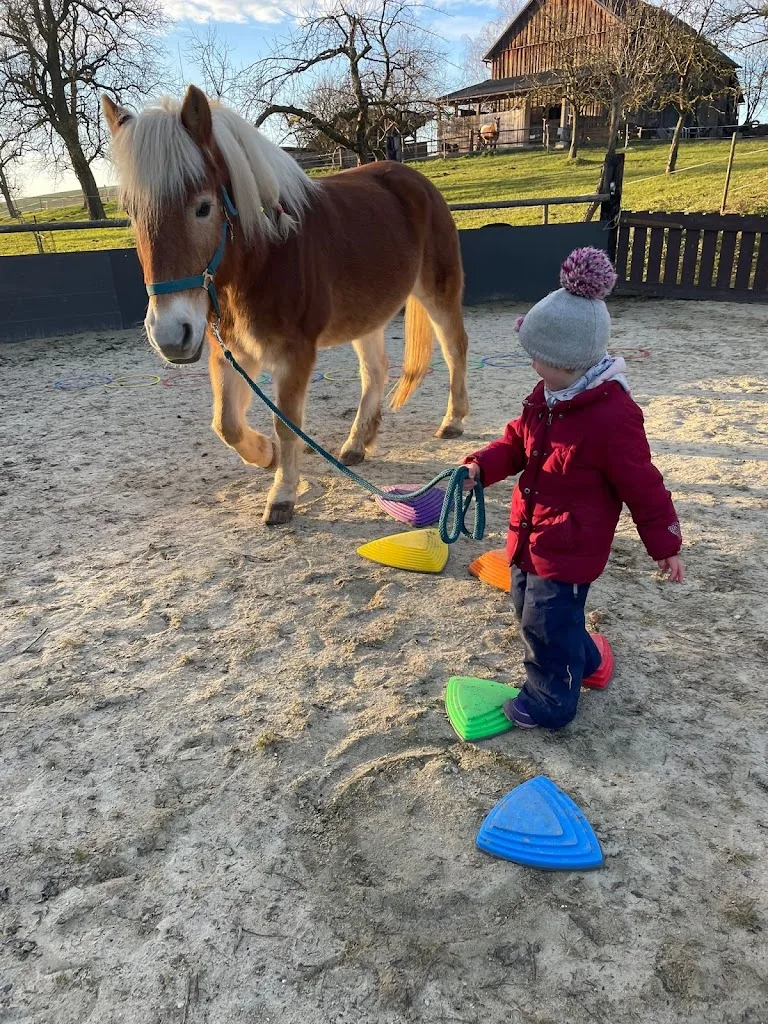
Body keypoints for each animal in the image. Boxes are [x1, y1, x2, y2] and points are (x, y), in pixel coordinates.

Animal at [101, 86, 469, 525]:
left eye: (203, 207)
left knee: (454, 348)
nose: (171, 336)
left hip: (438, 292)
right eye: (131, 212)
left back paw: (453, 421)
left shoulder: (295, 355)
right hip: (365, 317)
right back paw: (357, 443)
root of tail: (415, 180)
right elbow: (226, 423)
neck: (266, 257)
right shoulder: (229, 351)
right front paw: (267, 455)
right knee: (375, 371)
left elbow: (287, 422)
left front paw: (282, 494)